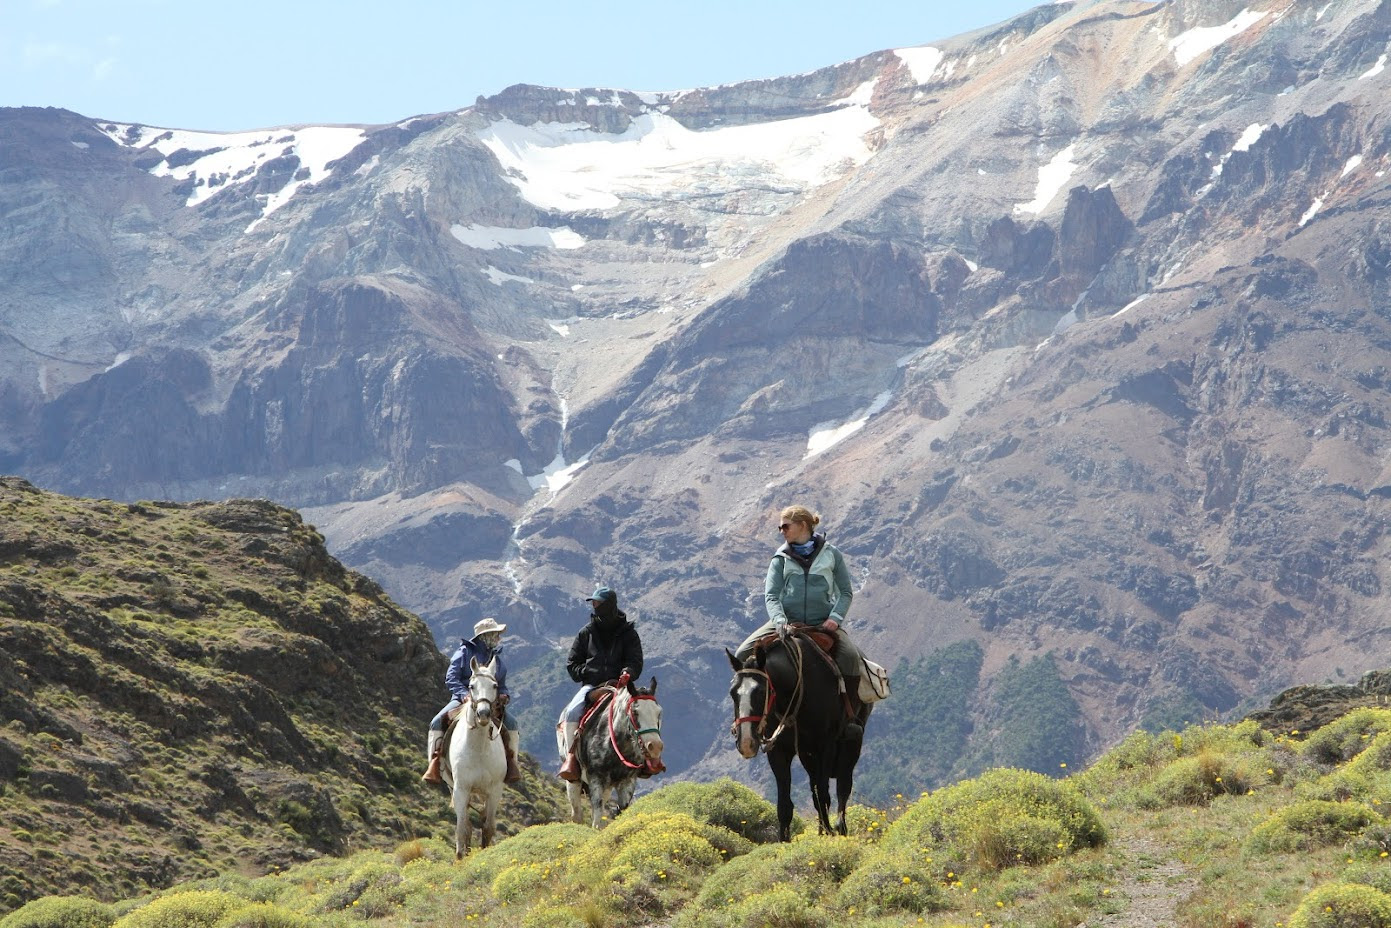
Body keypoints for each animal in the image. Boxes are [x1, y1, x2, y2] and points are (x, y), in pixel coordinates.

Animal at [439, 656, 506, 862]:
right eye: (471, 686)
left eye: (494, 685)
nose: (483, 714)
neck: (479, 750)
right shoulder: (461, 789)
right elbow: (462, 828)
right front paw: (460, 857)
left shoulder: (494, 791)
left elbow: (488, 827)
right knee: (467, 824)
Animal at [734, 640, 862, 840]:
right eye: (733, 693)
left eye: (762, 692)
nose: (747, 742)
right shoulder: (778, 751)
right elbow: (785, 804)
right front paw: (784, 841)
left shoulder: (826, 746)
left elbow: (824, 794)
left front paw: (828, 834)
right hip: (807, 756)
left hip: (850, 745)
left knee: (843, 785)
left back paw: (840, 828)